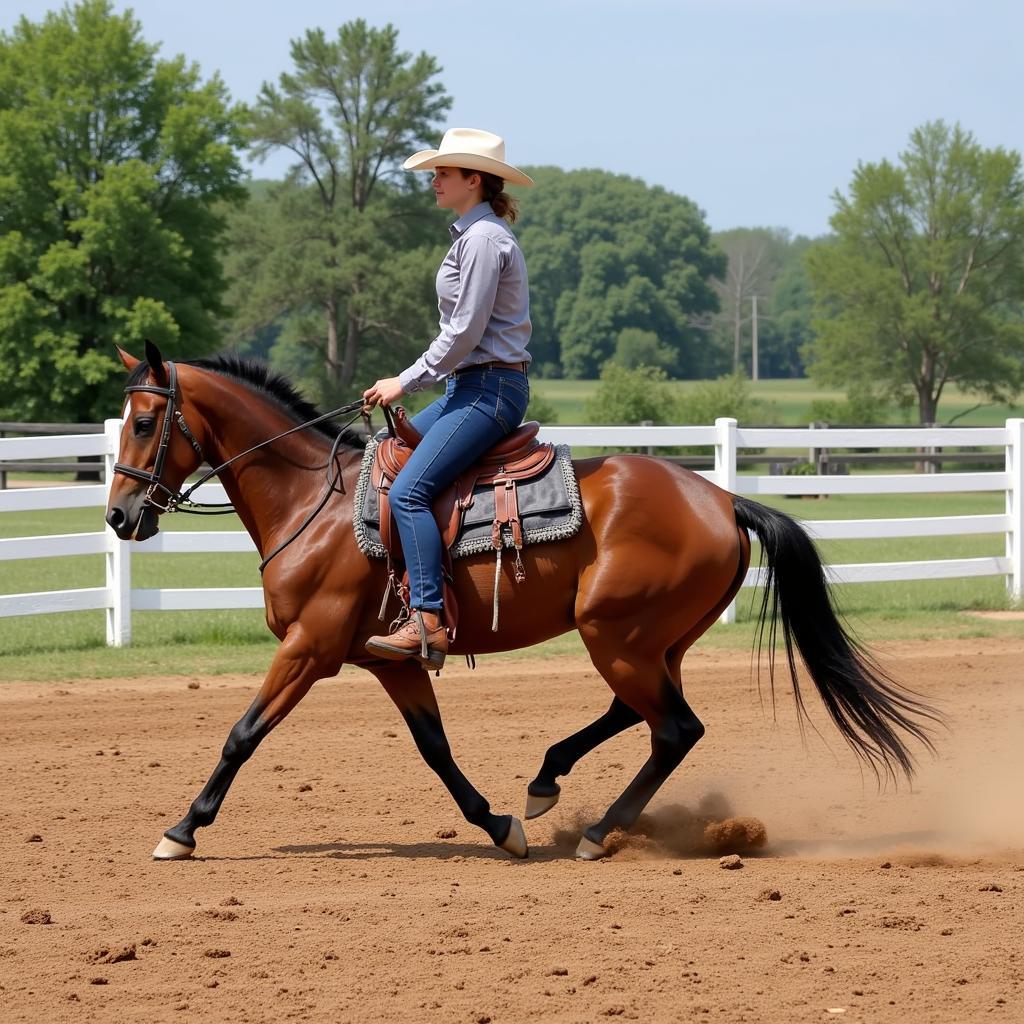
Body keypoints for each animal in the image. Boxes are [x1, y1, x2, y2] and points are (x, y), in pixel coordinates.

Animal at [103, 346, 937, 864]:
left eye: (144, 421)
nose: (117, 516)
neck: (319, 503)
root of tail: (725, 499)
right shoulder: (391, 661)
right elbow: (436, 750)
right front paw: (499, 825)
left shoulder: (309, 648)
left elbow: (242, 734)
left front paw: (182, 830)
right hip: (651, 641)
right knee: (648, 718)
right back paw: (546, 786)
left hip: (618, 636)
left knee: (674, 727)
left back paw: (596, 831)